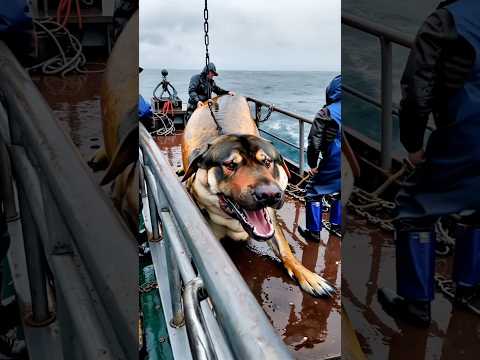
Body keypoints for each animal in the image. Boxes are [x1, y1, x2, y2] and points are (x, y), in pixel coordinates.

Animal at [182, 94, 336, 296]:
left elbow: (284, 249)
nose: (270, 194)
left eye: (267, 162)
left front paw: (307, 275)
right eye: (230, 164)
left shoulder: (270, 217)